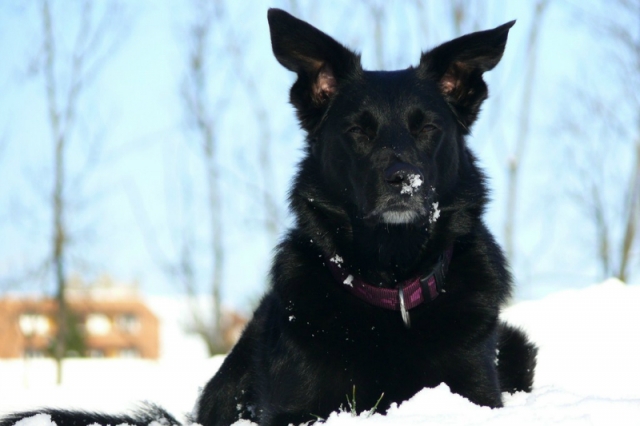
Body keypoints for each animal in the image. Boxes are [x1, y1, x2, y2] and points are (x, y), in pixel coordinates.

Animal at [2, 9, 536, 426]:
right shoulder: (296, 408)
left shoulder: (476, 390)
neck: (393, 283)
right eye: (357, 131)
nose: (403, 180)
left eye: (427, 128)